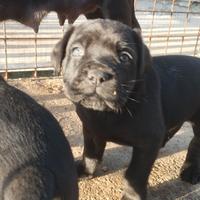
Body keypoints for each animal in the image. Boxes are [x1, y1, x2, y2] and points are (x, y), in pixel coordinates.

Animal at [51, 18, 200, 200]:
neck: (107, 113)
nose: (98, 75)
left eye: (125, 57)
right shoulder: (91, 129)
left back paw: (190, 170)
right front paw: (85, 170)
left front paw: (131, 196)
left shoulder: (148, 143)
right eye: (76, 50)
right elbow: (90, 153)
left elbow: (135, 175)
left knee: (196, 142)